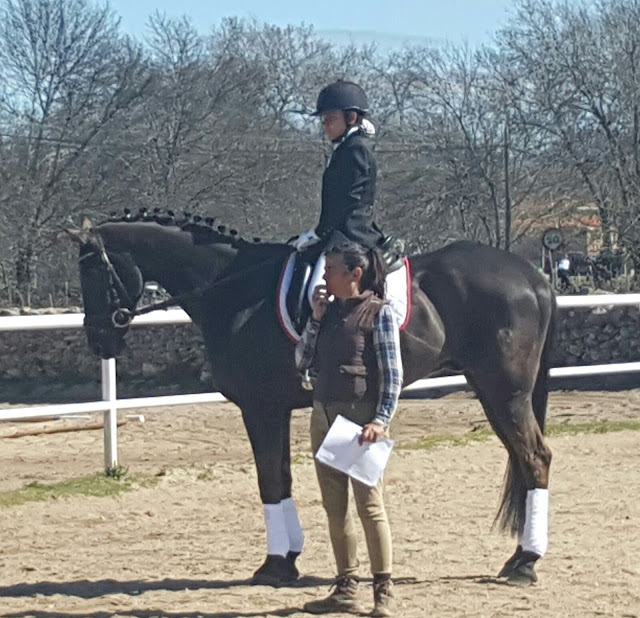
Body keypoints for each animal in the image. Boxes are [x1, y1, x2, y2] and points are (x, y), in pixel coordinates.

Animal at [69, 214, 556, 584]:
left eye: (93, 273)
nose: (98, 341)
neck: (233, 290)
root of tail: (532, 276)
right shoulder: (274, 409)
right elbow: (280, 478)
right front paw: (289, 557)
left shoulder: (260, 408)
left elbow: (269, 480)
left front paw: (274, 565)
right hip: (492, 392)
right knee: (524, 458)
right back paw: (518, 557)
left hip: (505, 392)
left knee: (535, 458)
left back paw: (526, 563)